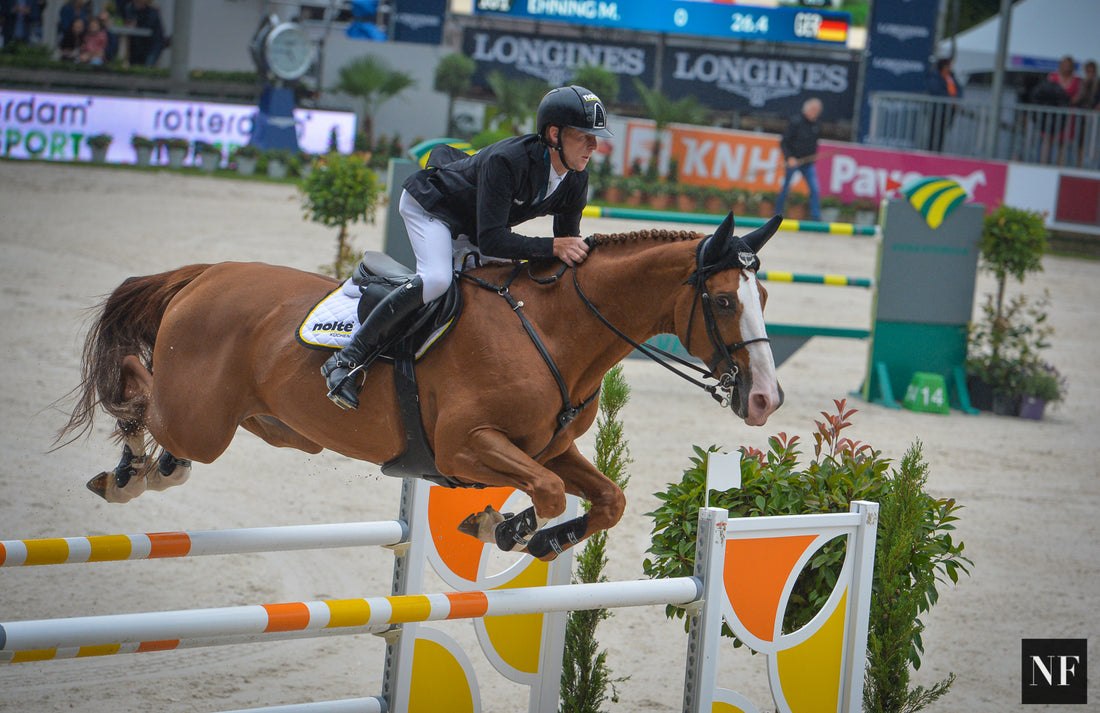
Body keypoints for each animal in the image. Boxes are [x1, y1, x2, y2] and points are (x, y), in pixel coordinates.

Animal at [60, 214, 783, 558]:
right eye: (723, 302)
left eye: (766, 295)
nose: (765, 400)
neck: (556, 332)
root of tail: (206, 274)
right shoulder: (465, 446)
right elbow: (547, 492)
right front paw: (504, 525)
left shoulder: (549, 447)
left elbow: (608, 500)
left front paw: (534, 538)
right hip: (200, 418)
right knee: (136, 390)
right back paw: (127, 472)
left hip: (271, 427)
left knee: (170, 432)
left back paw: (150, 469)